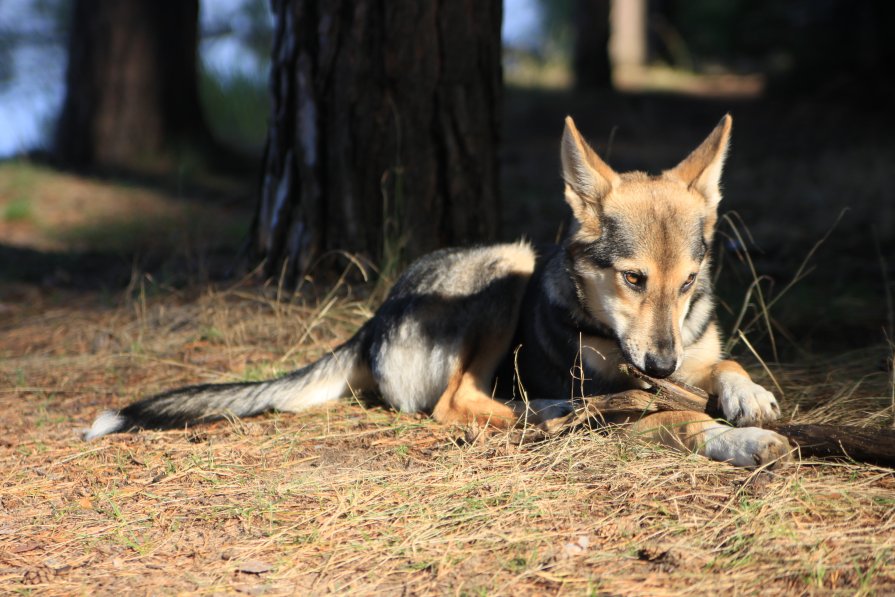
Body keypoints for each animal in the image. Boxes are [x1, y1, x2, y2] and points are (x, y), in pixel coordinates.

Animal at [87, 116, 792, 468]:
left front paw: (749, 395)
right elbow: (673, 416)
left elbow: (724, 364)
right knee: (459, 404)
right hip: (509, 261)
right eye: (633, 279)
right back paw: (551, 414)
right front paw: (737, 439)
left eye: (688, 283)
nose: (663, 365)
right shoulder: (633, 387)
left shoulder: (692, 350)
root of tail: (373, 322)